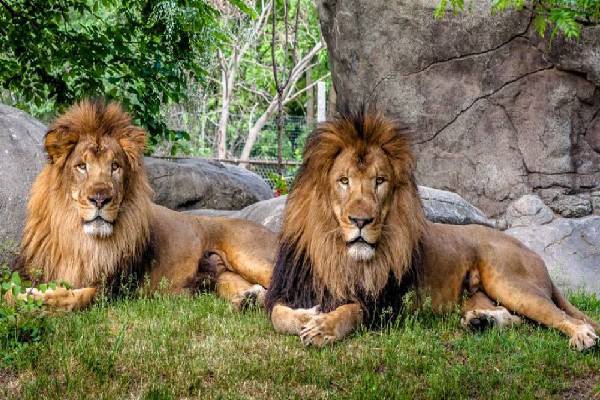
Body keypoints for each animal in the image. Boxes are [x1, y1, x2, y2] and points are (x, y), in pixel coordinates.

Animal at [13, 99, 276, 310]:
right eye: (81, 166)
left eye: (115, 166)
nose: (100, 199)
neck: (81, 239)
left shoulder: (117, 288)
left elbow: (79, 297)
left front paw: (38, 299)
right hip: (224, 277)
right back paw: (249, 299)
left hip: (249, 256)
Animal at [268, 109, 600, 350]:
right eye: (344, 181)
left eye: (379, 181)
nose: (361, 221)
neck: (338, 254)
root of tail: (530, 251)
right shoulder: (286, 289)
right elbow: (277, 315)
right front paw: (307, 315)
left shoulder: (386, 307)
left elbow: (352, 309)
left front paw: (323, 327)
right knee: (520, 320)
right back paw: (482, 322)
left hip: (511, 282)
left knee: (559, 316)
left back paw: (582, 337)